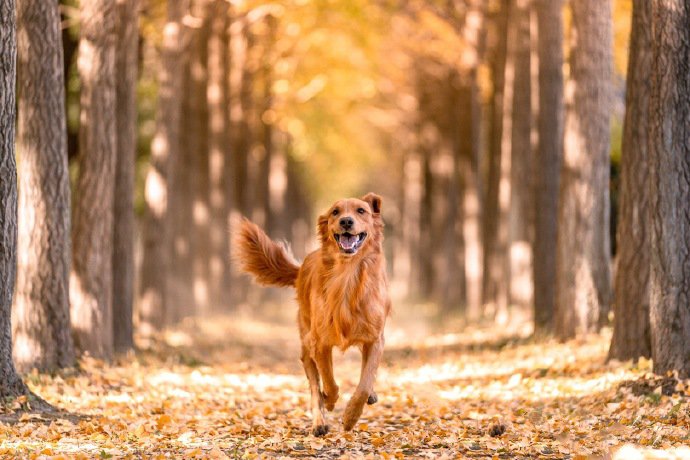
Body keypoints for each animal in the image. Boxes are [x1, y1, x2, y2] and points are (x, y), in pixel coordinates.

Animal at [234, 193, 390, 434]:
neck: (347, 276)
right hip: (306, 342)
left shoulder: (375, 338)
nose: (346, 221)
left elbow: (364, 382)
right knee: (315, 385)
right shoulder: (319, 343)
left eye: (361, 211)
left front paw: (351, 416)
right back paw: (319, 422)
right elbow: (329, 382)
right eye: (335, 212)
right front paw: (331, 401)